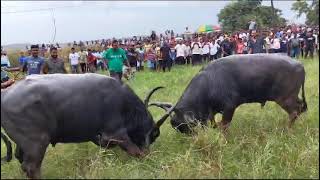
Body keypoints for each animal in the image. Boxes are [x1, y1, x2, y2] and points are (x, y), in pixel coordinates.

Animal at [1, 73, 174, 179]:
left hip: (23, 145)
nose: (150, 142)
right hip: (37, 144)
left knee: (21, 160)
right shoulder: (117, 134)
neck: (125, 105)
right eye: (154, 134)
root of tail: (5, 95)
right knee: (31, 167)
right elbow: (138, 153)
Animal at [152, 54, 308, 134]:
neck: (210, 82)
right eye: (178, 128)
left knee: (295, 111)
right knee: (301, 107)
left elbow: (223, 126)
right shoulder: (210, 112)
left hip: (285, 98)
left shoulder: (229, 108)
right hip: (293, 96)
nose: (192, 137)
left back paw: (286, 129)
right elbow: (214, 123)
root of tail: (299, 64)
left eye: (186, 126)